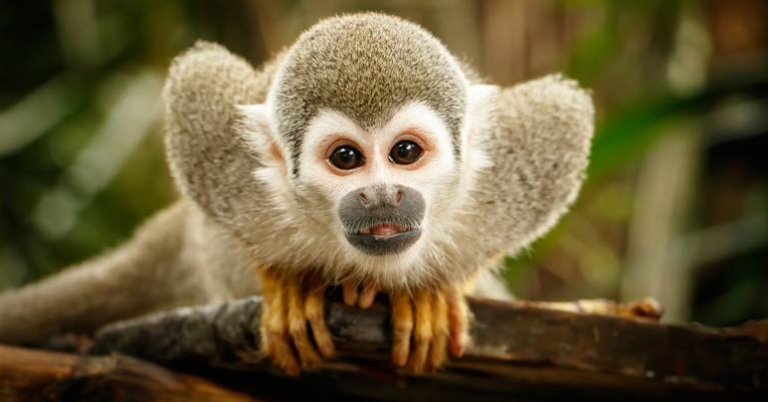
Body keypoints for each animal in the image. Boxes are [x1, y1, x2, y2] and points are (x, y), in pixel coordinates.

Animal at [0, 13, 594, 375]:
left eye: (404, 152)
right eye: (346, 159)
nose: (382, 196)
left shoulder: (508, 177)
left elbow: (564, 114)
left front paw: (436, 290)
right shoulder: (231, 174)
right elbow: (198, 78)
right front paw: (284, 281)